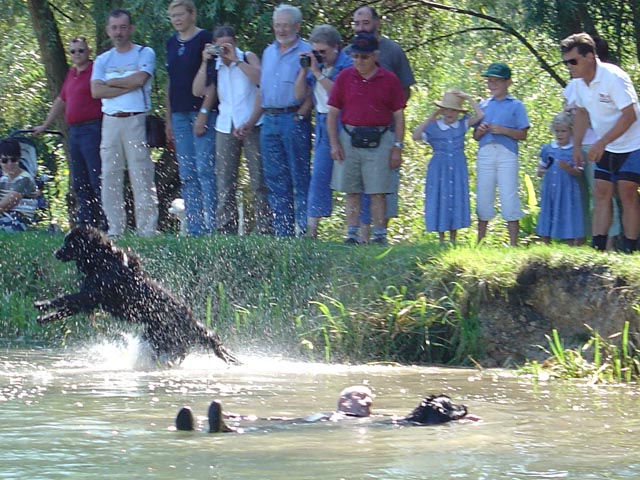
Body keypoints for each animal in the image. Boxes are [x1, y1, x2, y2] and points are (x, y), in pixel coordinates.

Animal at [33, 227, 238, 366]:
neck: (102, 260)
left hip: (162, 340)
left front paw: (42, 304)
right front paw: (43, 317)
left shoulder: (90, 295)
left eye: (70, 243)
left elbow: (63, 299)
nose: (56, 253)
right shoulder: (89, 300)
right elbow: (64, 308)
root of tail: (193, 323)